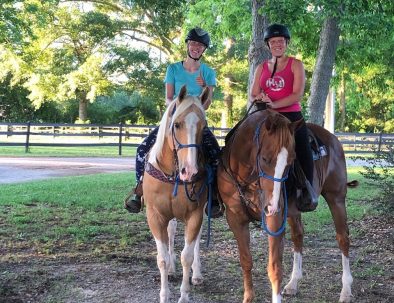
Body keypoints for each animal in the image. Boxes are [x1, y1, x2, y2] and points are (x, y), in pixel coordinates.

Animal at [144, 85, 211, 303]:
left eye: (203, 126)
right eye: (177, 124)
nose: (190, 171)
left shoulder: (196, 214)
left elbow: (187, 256)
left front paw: (184, 295)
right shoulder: (155, 216)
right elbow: (162, 258)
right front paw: (164, 295)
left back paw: (196, 275)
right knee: (171, 231)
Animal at [217, 109, 356, 303]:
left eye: (291, 161)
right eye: (265, 158)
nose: (272, 205)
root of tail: (333, 138)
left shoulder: (275, 220)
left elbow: (275, 268)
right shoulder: (235, 219)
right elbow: (245, 260)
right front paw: (248, 297)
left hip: (336, 199)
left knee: (343, 238)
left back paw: (346, 290)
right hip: (293, 211)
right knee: (298, 236)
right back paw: (293, 283)